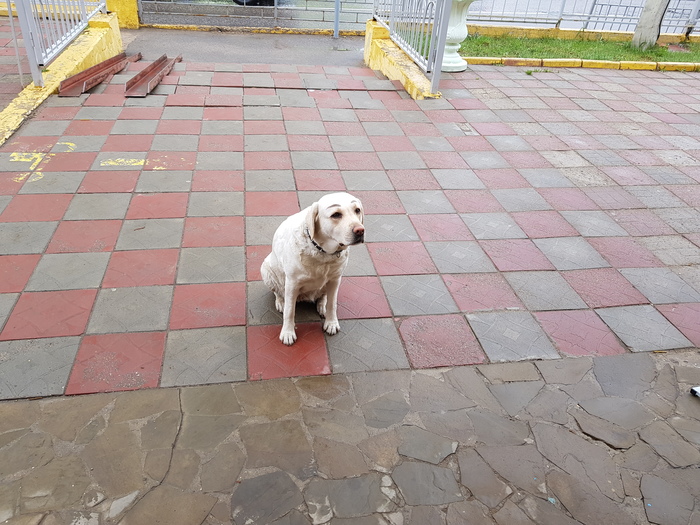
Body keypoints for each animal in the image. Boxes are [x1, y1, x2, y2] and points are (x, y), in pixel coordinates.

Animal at [260, 191, 364, 344]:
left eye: (357, 210)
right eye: (336, 214)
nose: (360, 230)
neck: (323, 252)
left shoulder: (335, 279)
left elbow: (332, 304)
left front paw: (331, 322)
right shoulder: (292, 283)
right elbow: (290, 311)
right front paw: (288, 332)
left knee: (323, 296)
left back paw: (322, 305)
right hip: (266, 269)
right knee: (278, 292)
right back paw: (280, 302)